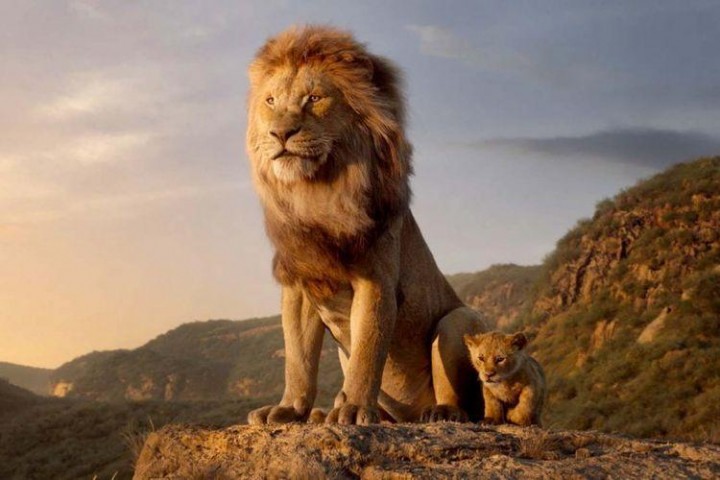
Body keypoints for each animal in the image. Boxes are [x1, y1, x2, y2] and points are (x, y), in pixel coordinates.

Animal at [245, 25, 488, 425]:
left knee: (465, 402)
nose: (280, 133)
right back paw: (324, 413)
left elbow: (367, 351)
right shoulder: (300, 284)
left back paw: (439, 412)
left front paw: (356, 408)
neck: (317, 192)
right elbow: (298, 359)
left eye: (314, 98)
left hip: (459, 320)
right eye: (270, 101)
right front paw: (289, 409)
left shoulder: (375, 279)